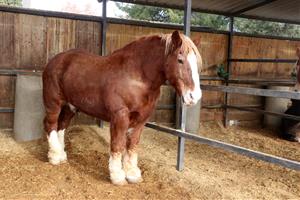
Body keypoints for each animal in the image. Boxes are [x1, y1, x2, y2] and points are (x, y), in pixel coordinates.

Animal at [42, 30, 202, 185]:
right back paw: (54, 156)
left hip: (70, 106)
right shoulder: (120, 116)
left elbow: (132, 145)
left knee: (62, 126)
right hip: (54, 103)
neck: (136, 77)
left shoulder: (141, 119)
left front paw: (132, 174)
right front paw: (117, 176)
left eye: (197, 63)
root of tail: (54, 61)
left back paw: (62, 155)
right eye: (180, 60)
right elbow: (118, 144)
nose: (194, 96)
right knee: (50, 124)